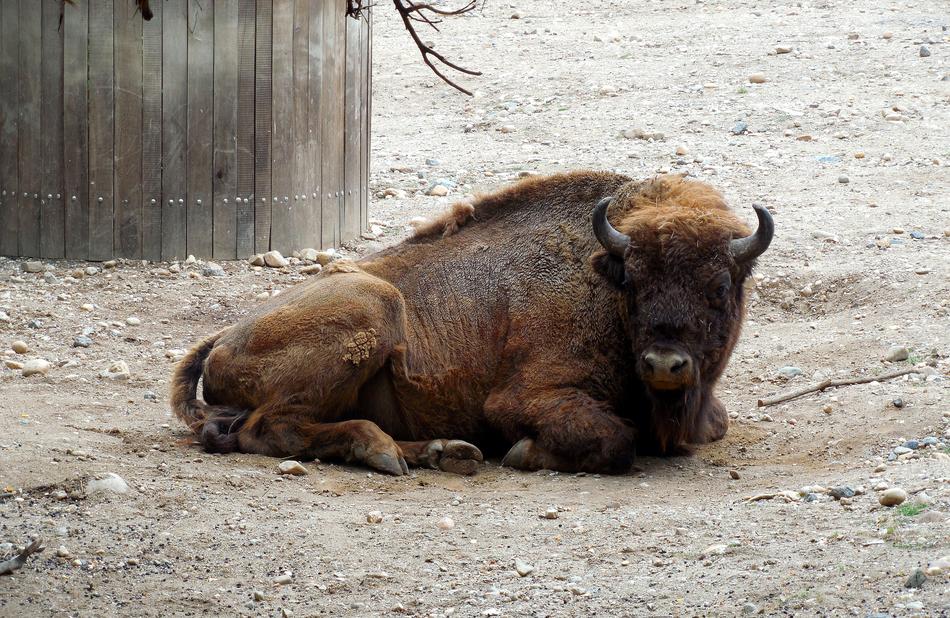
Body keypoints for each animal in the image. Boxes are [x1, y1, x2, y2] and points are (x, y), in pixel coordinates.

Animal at [171, 171, 773, 475]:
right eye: (635, 283)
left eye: (720, 287)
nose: (665, 364)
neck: (600, 271)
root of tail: (223, 338)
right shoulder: (523, 398)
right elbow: (614, 440)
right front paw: (524, 454)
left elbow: (714, 423)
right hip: (373, 307)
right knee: (268, 428)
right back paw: (383, 451)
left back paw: (445, 453)